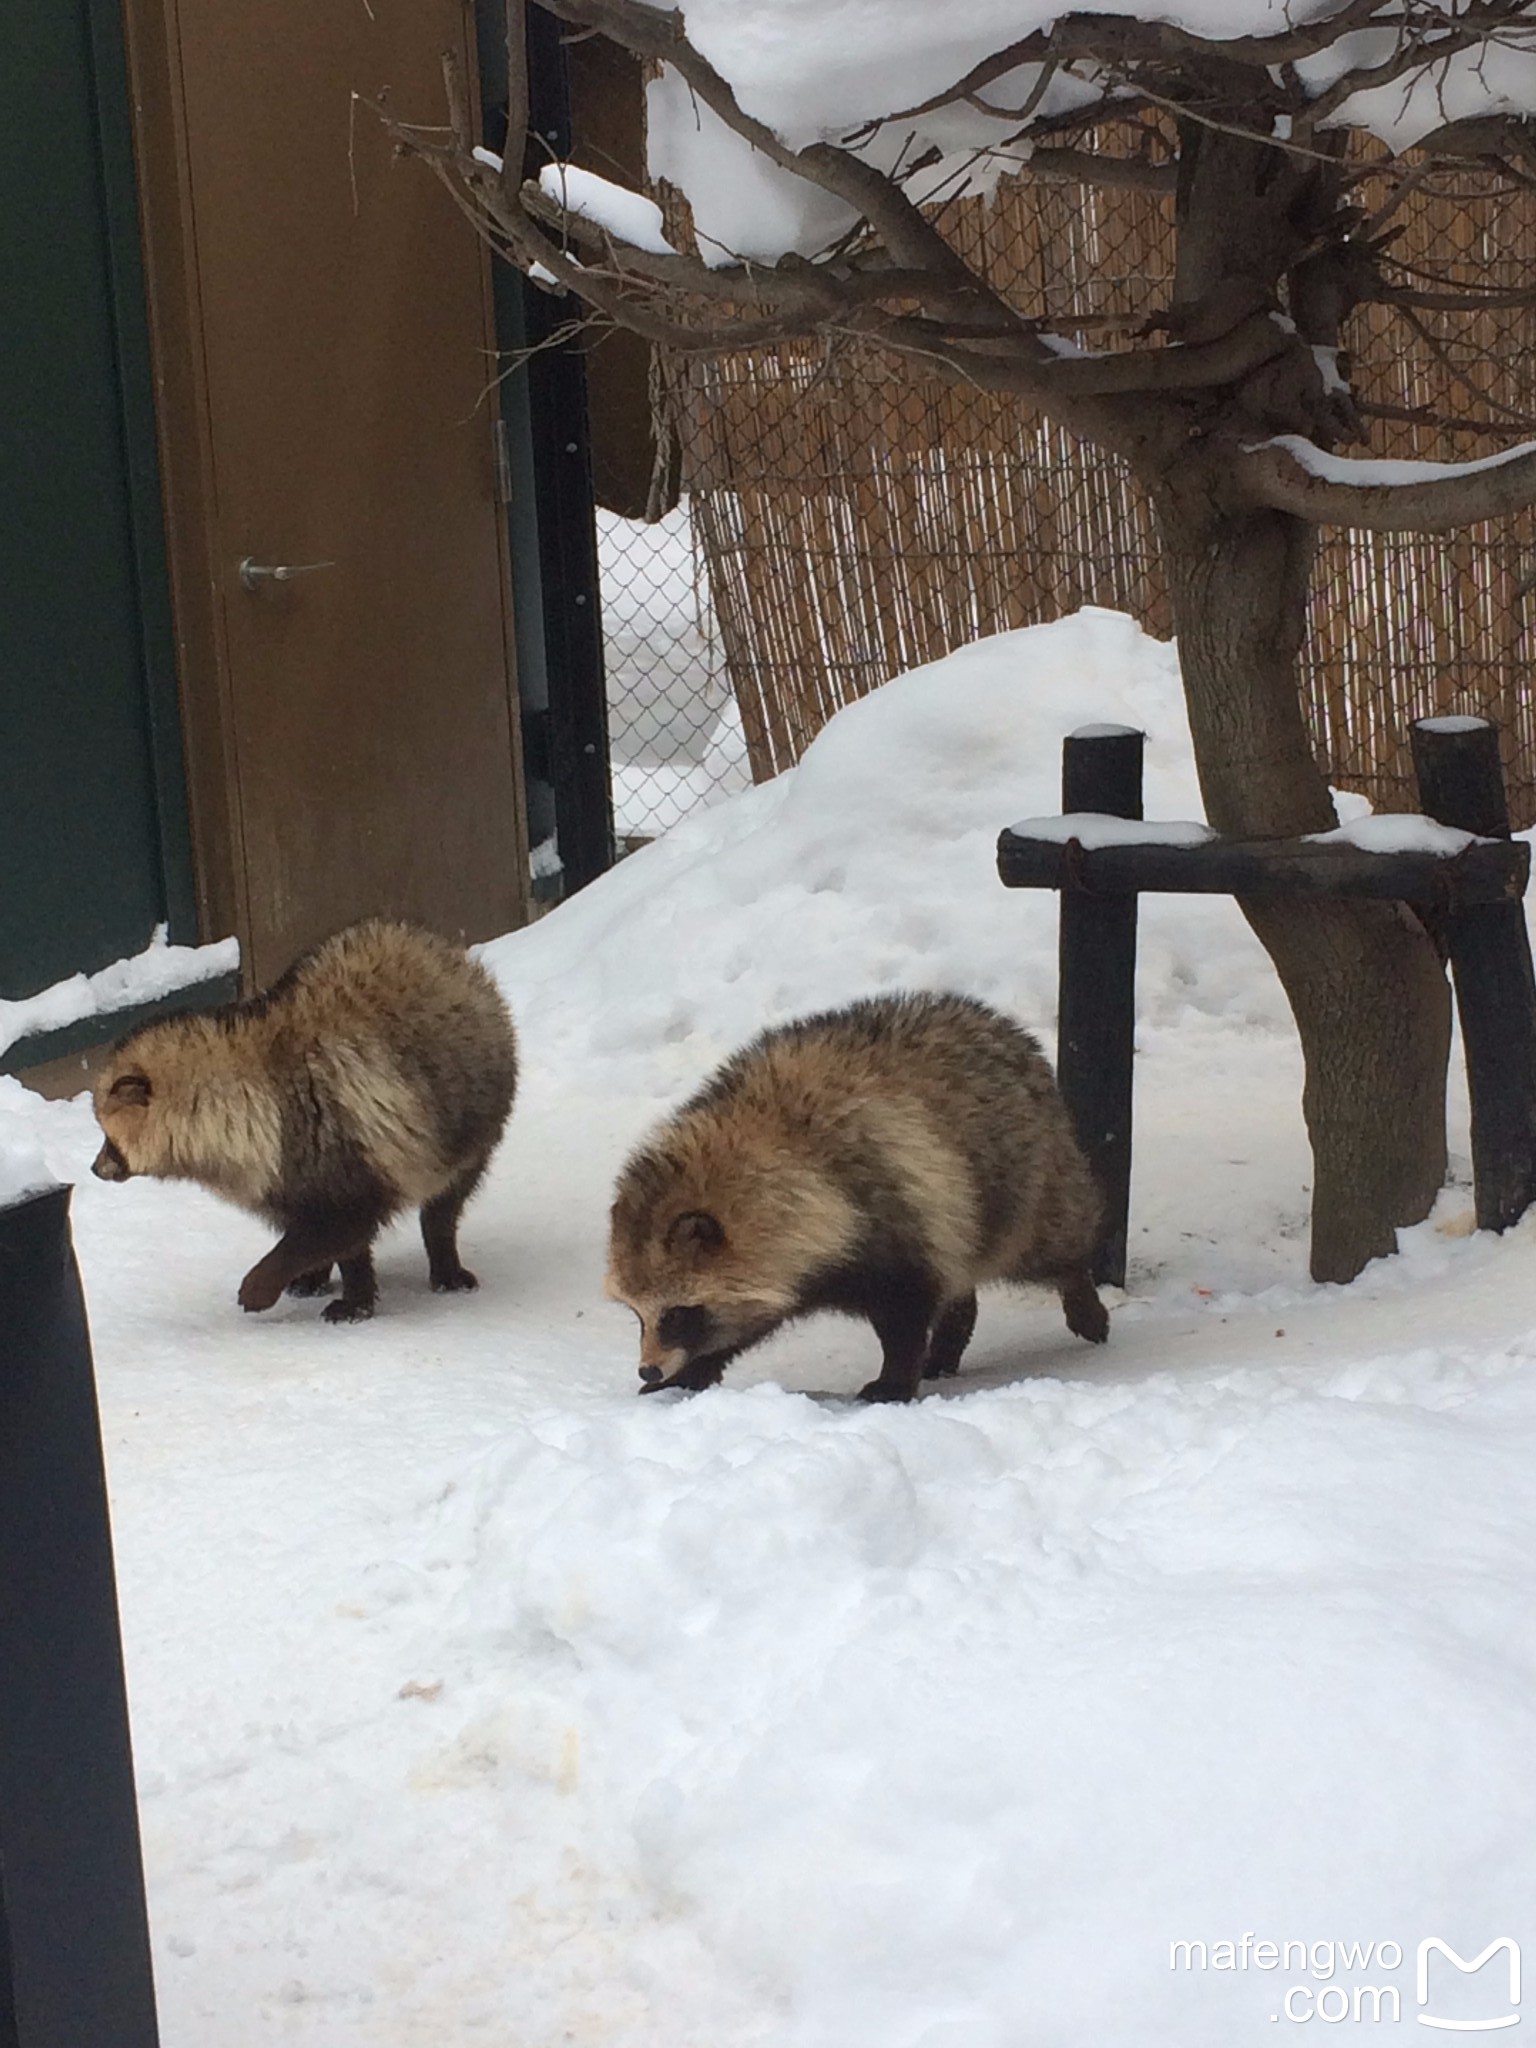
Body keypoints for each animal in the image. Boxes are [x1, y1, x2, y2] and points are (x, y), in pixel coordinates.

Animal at [90, 921, 518, 1318]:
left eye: (107, 1135)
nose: (95, 1168)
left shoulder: (345, 1152)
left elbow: (336, 1230)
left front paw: (281, 1286)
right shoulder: (289, 1177)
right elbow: (337, 1243)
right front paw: (340, 1286)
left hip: (467, 1130)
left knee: (444, 1207)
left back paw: (445, 1264)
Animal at [606, 995, 1114, 1409]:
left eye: (676, 1314)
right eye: (638, 1314)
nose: (648, 1367)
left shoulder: (891, 1205)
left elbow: (904, 1311)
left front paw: (896, 1377)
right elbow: (745, 1320)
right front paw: (693, 1369)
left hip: (1029, 1178)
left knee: (1050, 1240)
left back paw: (1079, 1292)